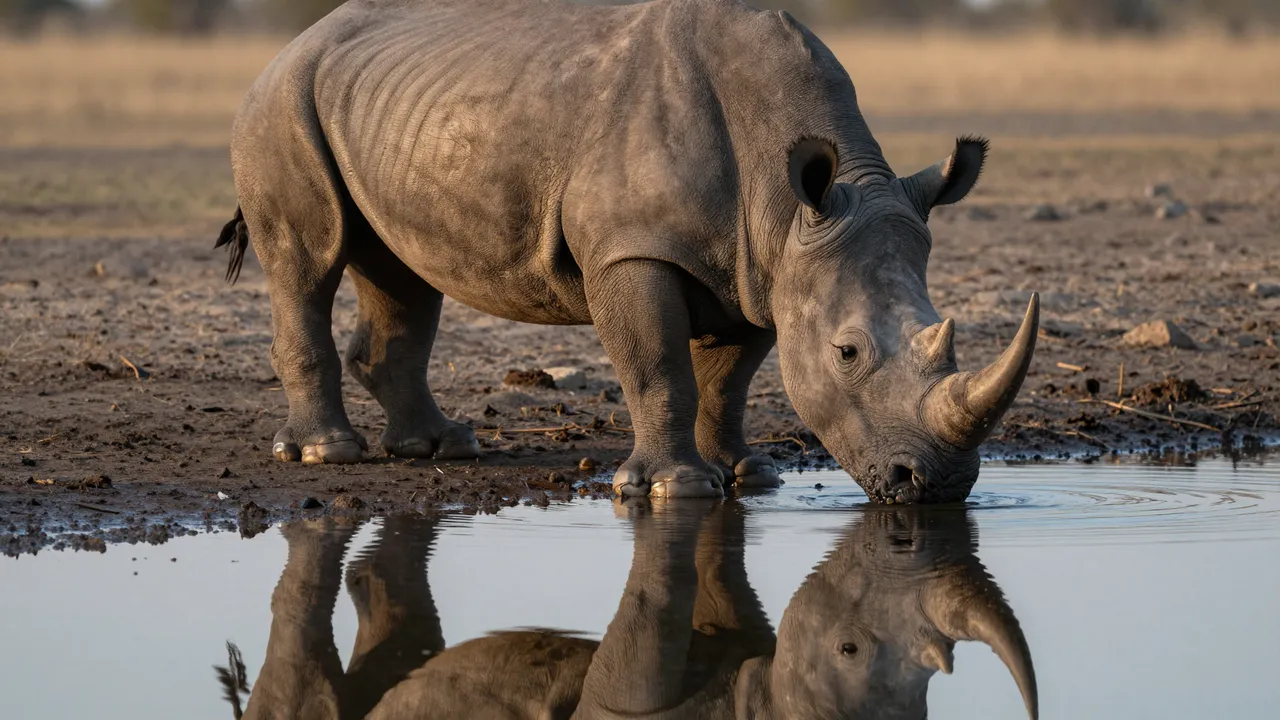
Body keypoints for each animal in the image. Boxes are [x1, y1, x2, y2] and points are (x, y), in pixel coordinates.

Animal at [216, 0, 1039, 502]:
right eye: (847, 354)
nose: (932, 486)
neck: (789, 205)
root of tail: (292, 44)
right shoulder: (632, 250)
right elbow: (658, 368)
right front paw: (674, 490)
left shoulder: (760, 266)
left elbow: (727, 379)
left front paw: (746, 474)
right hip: (278, 103)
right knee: (307, 261)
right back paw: (328, 455)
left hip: (384, 106)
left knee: (403, 275)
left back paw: (440, 448)